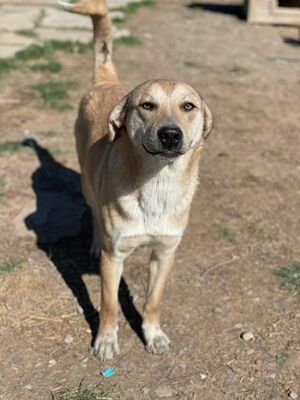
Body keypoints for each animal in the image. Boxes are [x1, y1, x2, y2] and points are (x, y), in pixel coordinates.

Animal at [59, 0, 212, 362]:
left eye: (188, 106)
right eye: (147, 105)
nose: (170, 134)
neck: (157, 184)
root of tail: (106, 81)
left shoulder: (165, 253)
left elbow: (153, 300)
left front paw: (153, 335)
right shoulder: (114, 258)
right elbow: (110, 304)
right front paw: (105, 340)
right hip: (88, 184)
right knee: (94, 213)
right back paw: (95, 241)